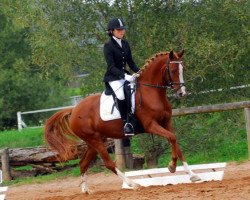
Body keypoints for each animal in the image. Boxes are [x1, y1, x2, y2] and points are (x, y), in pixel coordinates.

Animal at [45, 50, 200, 194]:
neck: (151, 92)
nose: (182, 93)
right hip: (94, 140)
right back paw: (133, 184)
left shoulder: (167, 123)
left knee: (83, 163)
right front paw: (172, 166)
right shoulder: (151, 125)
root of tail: (74, 110)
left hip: (95, 141)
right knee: (108, 163)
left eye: (184, 69)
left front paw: (192, 175)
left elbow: (176, 143)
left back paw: (86, 190)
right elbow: (172, 138)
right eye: (173, 70)